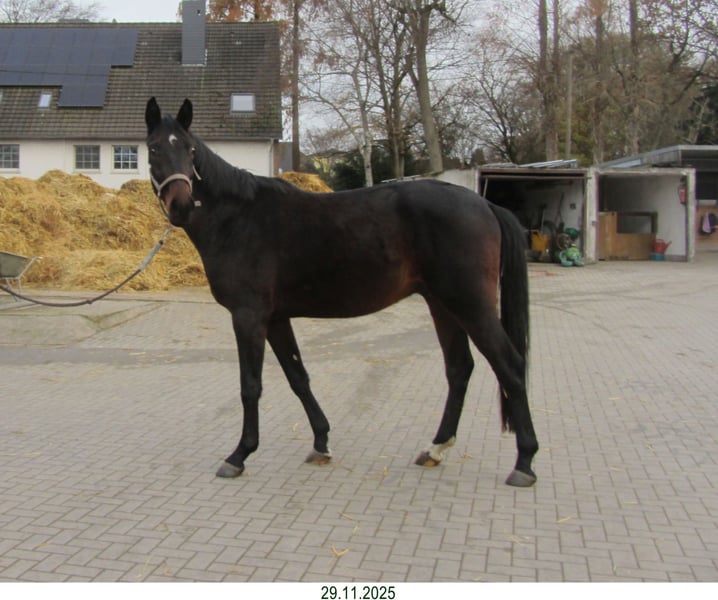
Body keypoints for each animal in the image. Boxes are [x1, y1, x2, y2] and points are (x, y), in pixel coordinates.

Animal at [144, 97, 539, 487]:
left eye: (190, 150)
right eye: (154, 148)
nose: (181, 206)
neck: (238, 218)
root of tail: (485, 204)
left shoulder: (249, 317)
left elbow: (250, 385)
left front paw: (239, 455)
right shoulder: (276, 319)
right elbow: (297, 377)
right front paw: (321, 442)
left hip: (471, 306)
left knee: (510, 366)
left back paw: (524, 462)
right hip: (443, 305)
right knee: (459, 369)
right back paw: (436, 448)